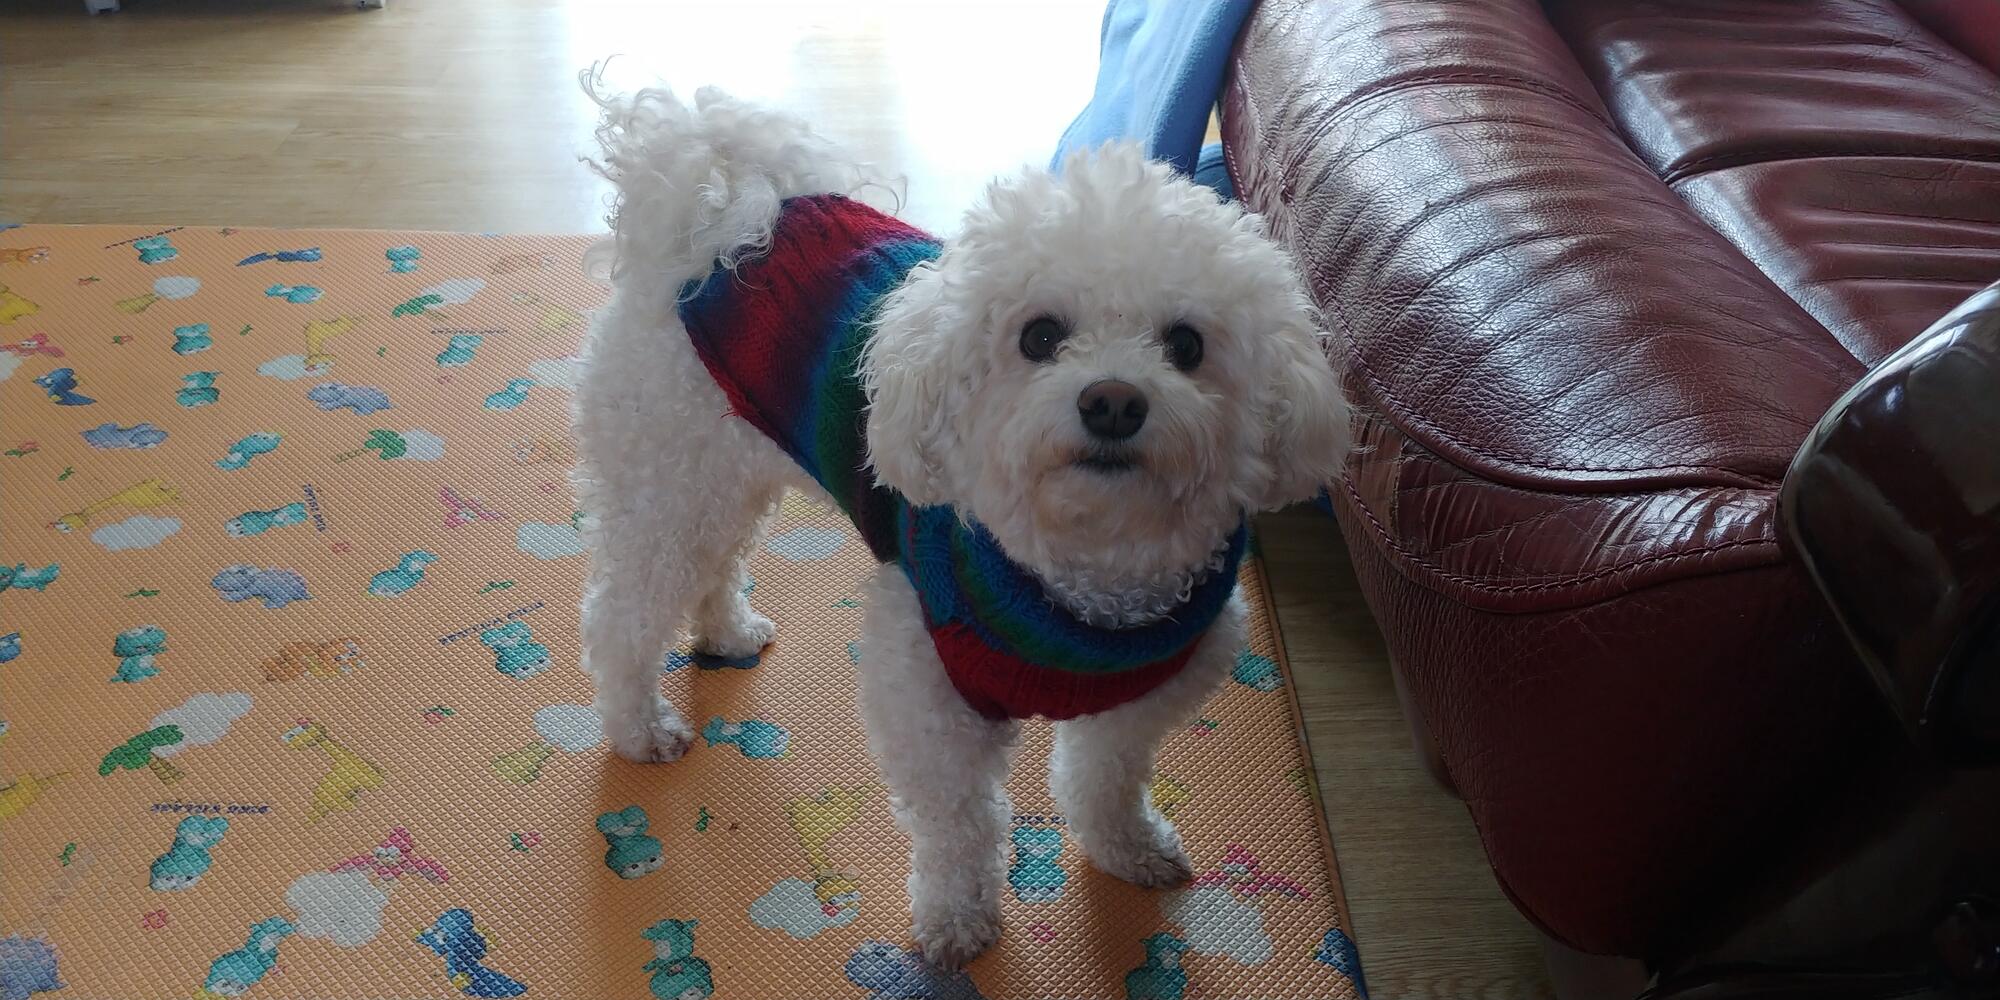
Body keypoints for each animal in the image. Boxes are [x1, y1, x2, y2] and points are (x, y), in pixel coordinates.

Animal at [571, 83, 1347, 968]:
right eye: (1039, 336)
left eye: (1186, 346)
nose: (1113, 401)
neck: (1085, 575)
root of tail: (715, 228)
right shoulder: (925, 690)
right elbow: (958, 824)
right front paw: (956, 921)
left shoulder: (1148, 690)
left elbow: (1106, 779)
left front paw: (1127, 850)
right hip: (668, 480)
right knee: (623, 616)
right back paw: (640, 728)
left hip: (724, 475)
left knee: (714, 565)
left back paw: (725, 633)